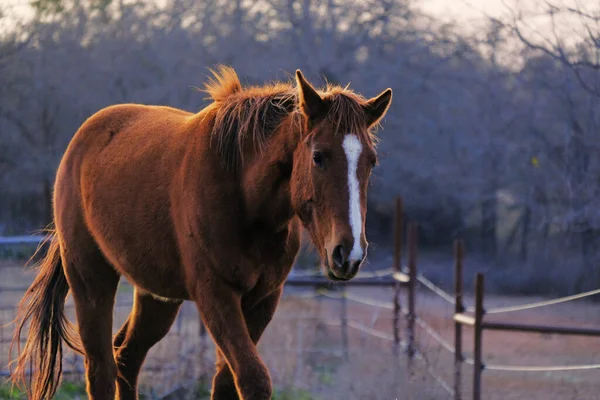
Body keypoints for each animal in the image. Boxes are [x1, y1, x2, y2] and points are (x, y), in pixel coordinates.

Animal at [9, 66, 394, 400]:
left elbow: (227, 382)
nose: (348, 253)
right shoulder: (216, 293)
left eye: (371, 162)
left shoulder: (262, 299)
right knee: (101, 368)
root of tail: (82, 140)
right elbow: (252, 380)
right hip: (90, 279)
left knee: (126, 358)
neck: (244, 197)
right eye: (318, 156)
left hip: (157, 296)